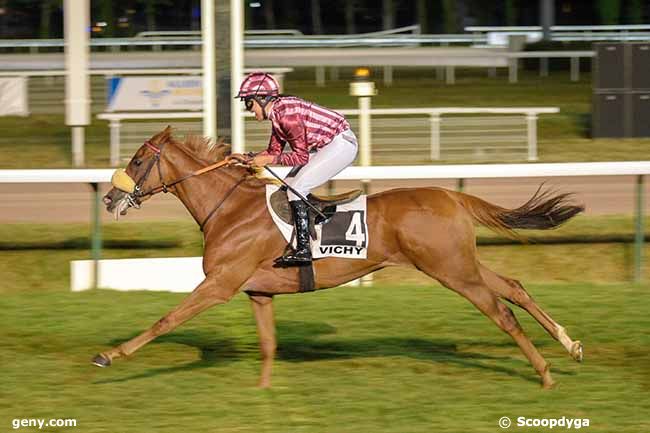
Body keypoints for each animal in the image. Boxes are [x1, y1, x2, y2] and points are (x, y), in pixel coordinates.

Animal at [95, 125, 584, 388]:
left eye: (137, 161)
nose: (108, 199)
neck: (230, 209)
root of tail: (451, 195)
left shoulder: (219, 284)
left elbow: (167, 319)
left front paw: (110, 355)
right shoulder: (257, 292)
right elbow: (268, 343)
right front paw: (264, 391)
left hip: (452, 271)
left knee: (502, 312)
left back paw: (545, 373)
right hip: (462, 263)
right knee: (515, 288)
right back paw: (570, 345)